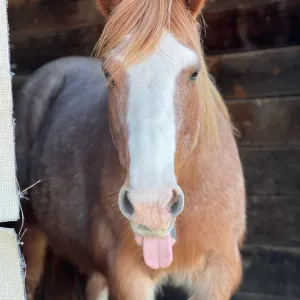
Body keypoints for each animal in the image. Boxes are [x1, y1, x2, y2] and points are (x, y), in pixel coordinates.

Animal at [14, 0, 246, 298]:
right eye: (109, 74)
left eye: (194, 72)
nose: (151, 206)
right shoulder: (128, 275)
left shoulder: (220, 273)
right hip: (30, 233)